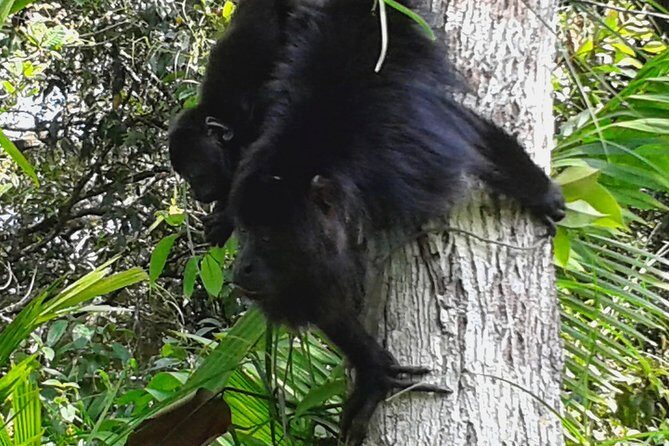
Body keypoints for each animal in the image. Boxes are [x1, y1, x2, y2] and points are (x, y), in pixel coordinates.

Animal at [226, 0, 565, 444]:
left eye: (267, 236)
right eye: (245, 232)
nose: (240, 268)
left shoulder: (403, 160)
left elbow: (472, 137)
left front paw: (544, 195)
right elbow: (325, 303)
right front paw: (372, 369)